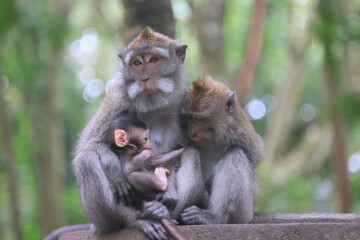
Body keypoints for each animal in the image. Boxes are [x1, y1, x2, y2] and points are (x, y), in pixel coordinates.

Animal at [181, 76, 262, 224]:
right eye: (189, 117)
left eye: (200, 118)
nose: (192, 132)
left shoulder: (241, 130)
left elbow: (256, 157)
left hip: (245, 212)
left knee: (235, 154)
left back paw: (216, 216)